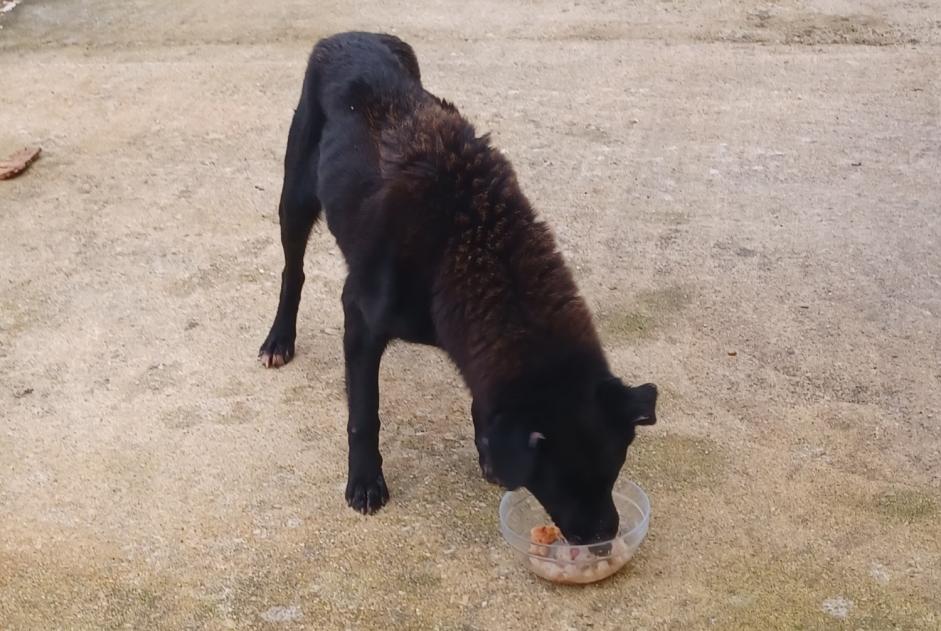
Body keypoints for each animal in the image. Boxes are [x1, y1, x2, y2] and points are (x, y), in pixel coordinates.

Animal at [258, 32, 652, 544]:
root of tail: (350, 36)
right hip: (296, 195)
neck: (465, 244)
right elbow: (364, 414)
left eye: (614, 470)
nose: (605, 540)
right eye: (562, 480)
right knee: (293, 272)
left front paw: (487, 452)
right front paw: (365, 480)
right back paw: (278, 339)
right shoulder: (360, 316)